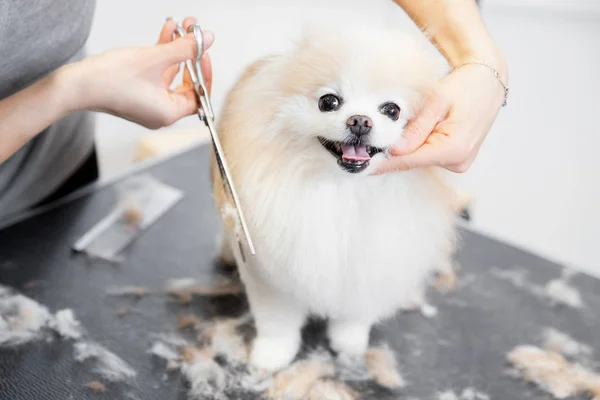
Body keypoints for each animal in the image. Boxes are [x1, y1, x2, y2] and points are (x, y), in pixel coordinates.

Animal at [213, 27, 462, 372]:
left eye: (392, 110)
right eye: (328, 101)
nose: (360, 120)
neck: (343, 190)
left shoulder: (370, 265)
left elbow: (354, 317)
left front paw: (349, 345)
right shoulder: (270, 272)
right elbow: (277, 322)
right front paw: (271, 357)